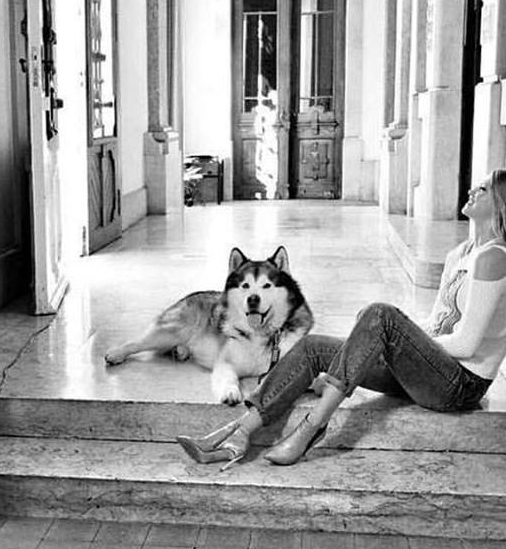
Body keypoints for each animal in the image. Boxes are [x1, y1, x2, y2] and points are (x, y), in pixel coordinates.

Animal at [104, 246, 313, 404]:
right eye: (245, 285)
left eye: (267, 285)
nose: (253, 299)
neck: (258, 334)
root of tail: (192, 295)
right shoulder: (225, 362)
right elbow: (229, 377)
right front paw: (230, 392)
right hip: (171, 331)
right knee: (136, 342)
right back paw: (115, 354)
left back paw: (180, 351)